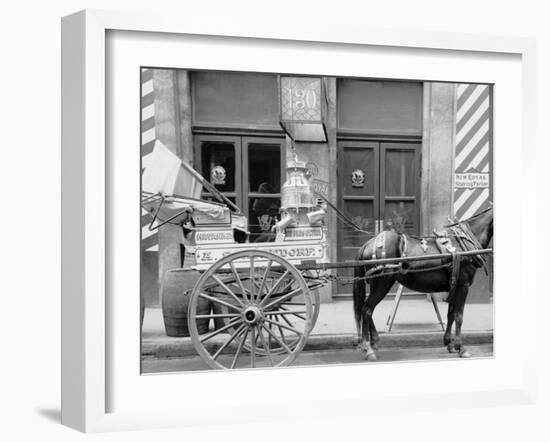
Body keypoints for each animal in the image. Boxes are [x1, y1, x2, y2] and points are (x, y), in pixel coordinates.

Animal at [354, 205, 496, 360]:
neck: (465, 241)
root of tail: (368, 244)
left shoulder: (454, 286)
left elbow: (451, 315)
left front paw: (450, 344)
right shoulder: (463, 286)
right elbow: (459, 316)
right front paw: (461, 347)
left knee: (365, 308)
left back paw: (374, 341)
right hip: (382, 283)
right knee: (367, 309)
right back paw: (368, 348)